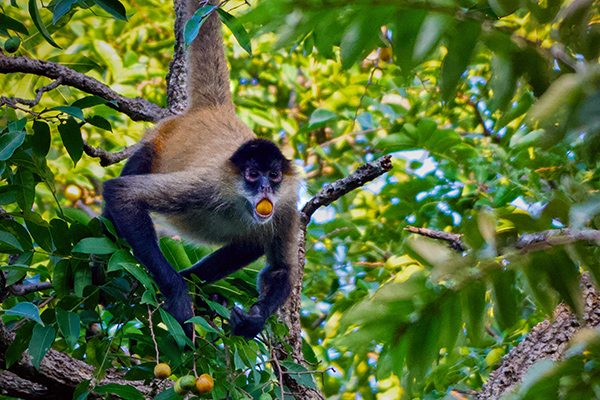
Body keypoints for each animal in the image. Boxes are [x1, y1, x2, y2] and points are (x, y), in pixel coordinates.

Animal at [103, 0, 302, 340]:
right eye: (253, 174)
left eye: (274, 175)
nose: (265, 187)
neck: (240, 204)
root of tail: (214, 110)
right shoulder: (208, 184)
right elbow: (122, 194)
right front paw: (177, 293)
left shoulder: (287, 207)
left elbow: (280, 270)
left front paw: (254, 320)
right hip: (156, 143)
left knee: (250, 242)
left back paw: (199, 286)